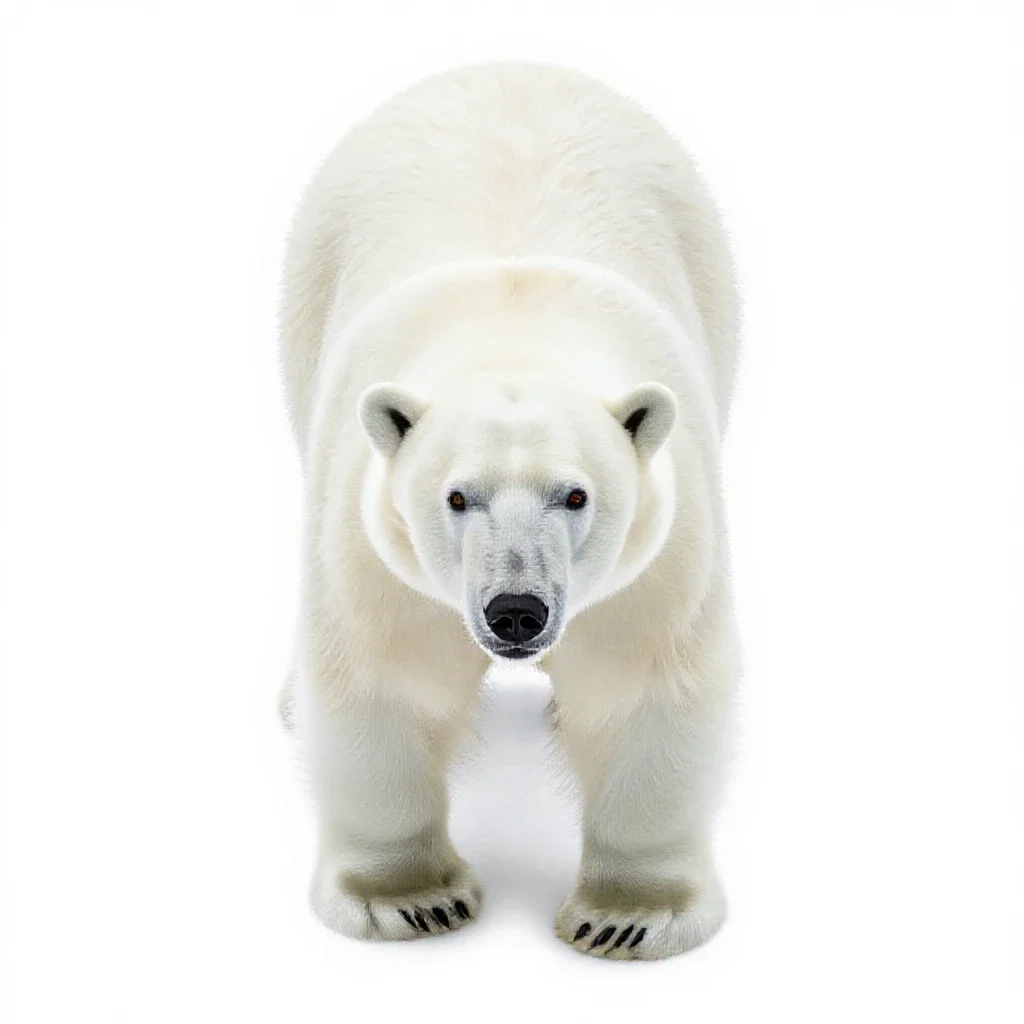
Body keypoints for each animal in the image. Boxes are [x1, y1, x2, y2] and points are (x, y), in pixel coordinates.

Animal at [278, 62, 741, 961]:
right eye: (458, 496)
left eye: (577, 494)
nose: (516, 611)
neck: (513, 328)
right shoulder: (374, 551)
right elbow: (387, 680)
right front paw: (410, 901)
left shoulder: (661, 553)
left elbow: (641, 690)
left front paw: (627, 917)